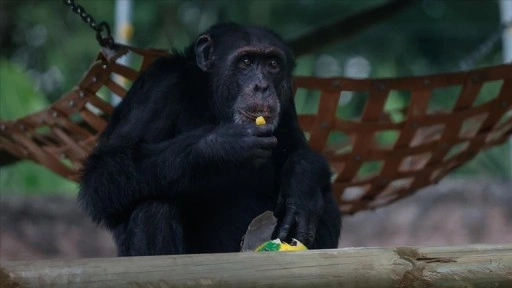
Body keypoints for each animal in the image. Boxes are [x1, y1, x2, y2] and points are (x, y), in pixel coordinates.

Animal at [79, 23, 340, 256]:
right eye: (246, 62)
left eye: (273, 64)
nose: (262, 86)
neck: (213, 97)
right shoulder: (157, 86)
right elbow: (102, 172)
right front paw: (222, 147)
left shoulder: (286, 103)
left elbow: (299, 150)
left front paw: (300, 188)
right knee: (152, 207)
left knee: (326, 200)